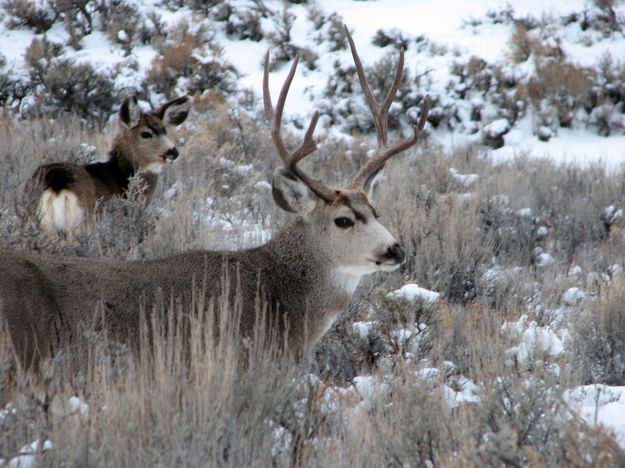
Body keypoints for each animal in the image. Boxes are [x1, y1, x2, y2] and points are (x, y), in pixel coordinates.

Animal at [29, 94, 190, 238]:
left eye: (165, 131)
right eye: (146, 134)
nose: (173, 152)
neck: (121, 176)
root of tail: (56, 184)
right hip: (82, 224)